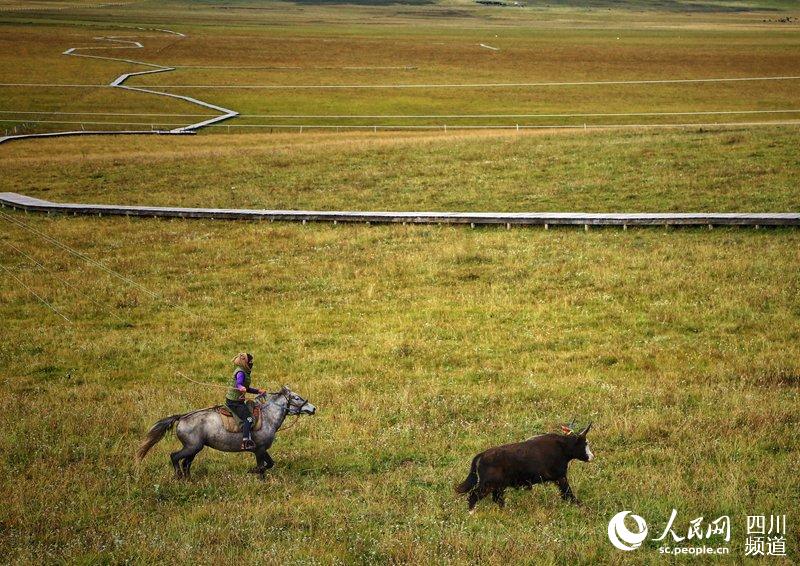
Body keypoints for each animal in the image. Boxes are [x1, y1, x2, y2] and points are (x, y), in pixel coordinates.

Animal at [136, 386, 314, 480]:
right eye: (297, 398)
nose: (313, 408)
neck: (268, 416)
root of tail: (182, 417)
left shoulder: (262, 449)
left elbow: (269, 464)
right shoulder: (259, 449)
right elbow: (262, 466)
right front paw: (256, 474)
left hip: (194, 448)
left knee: (186, 462)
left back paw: (189, 479)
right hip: (192, 447)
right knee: (174, 457)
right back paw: (179, 476)